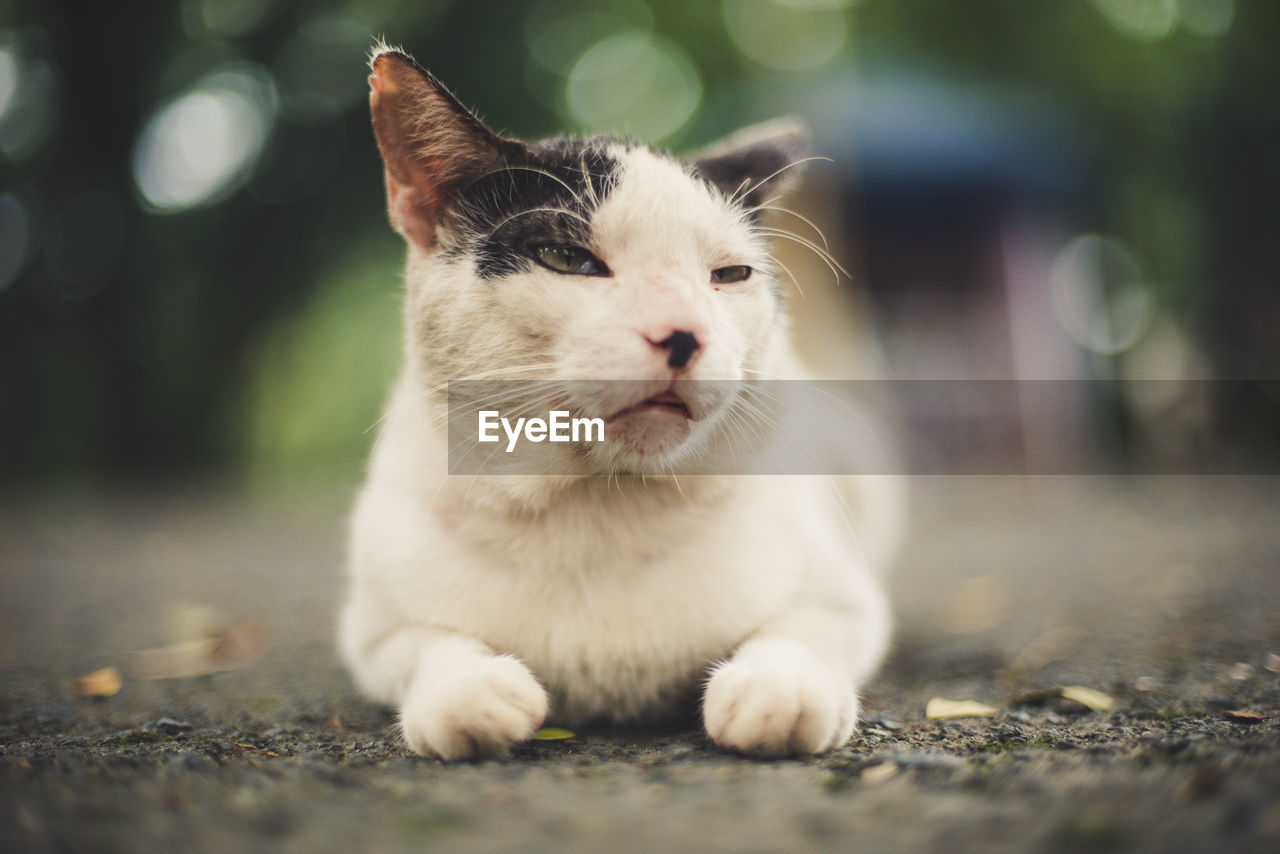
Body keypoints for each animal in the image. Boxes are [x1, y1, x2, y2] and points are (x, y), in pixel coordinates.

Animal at [340, 43, 901, 757]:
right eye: (565, 257)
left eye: (730, 275)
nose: (682, 334)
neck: (596, 510)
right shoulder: (372, 628)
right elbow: (425, 645)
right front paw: (467, 690)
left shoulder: (847, 600)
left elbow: (804, 629)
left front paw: (780, 690)